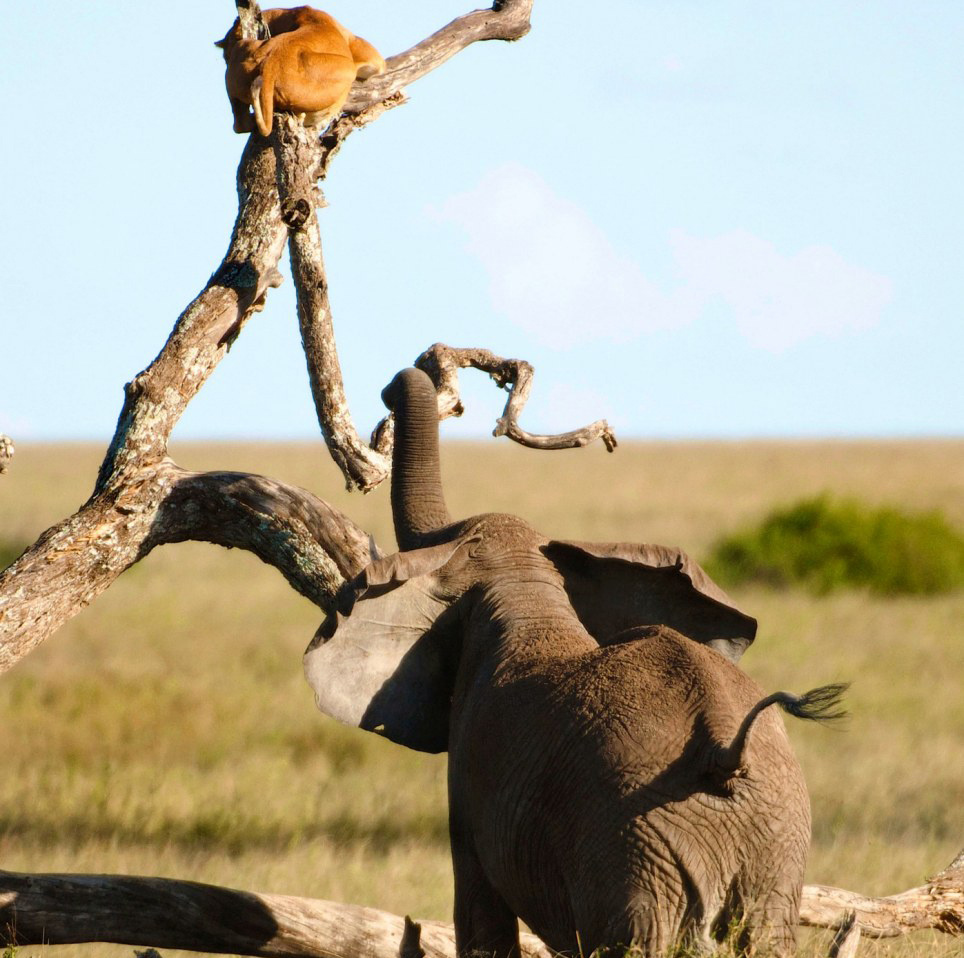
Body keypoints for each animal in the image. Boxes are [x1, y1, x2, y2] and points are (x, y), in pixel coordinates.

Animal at [304, 370, 844, 958]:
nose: (390, 387)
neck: (527, 591)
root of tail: (723, 749)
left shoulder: (469, 781)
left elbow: (480, 915)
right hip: (771, 844)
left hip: (632, 846)